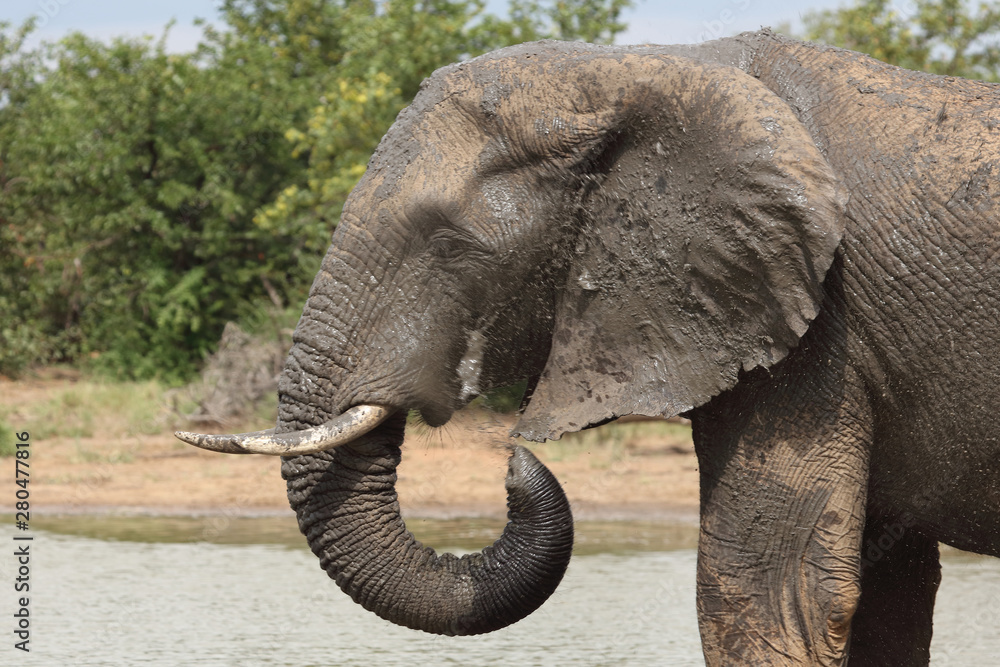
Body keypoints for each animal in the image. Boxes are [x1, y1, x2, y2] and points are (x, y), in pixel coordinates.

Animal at [176, 29, 1000, 666]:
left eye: (448, 241)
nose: (512, 464)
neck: (651, 68)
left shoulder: (819, 325)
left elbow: (766, 589)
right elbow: (884, 601)